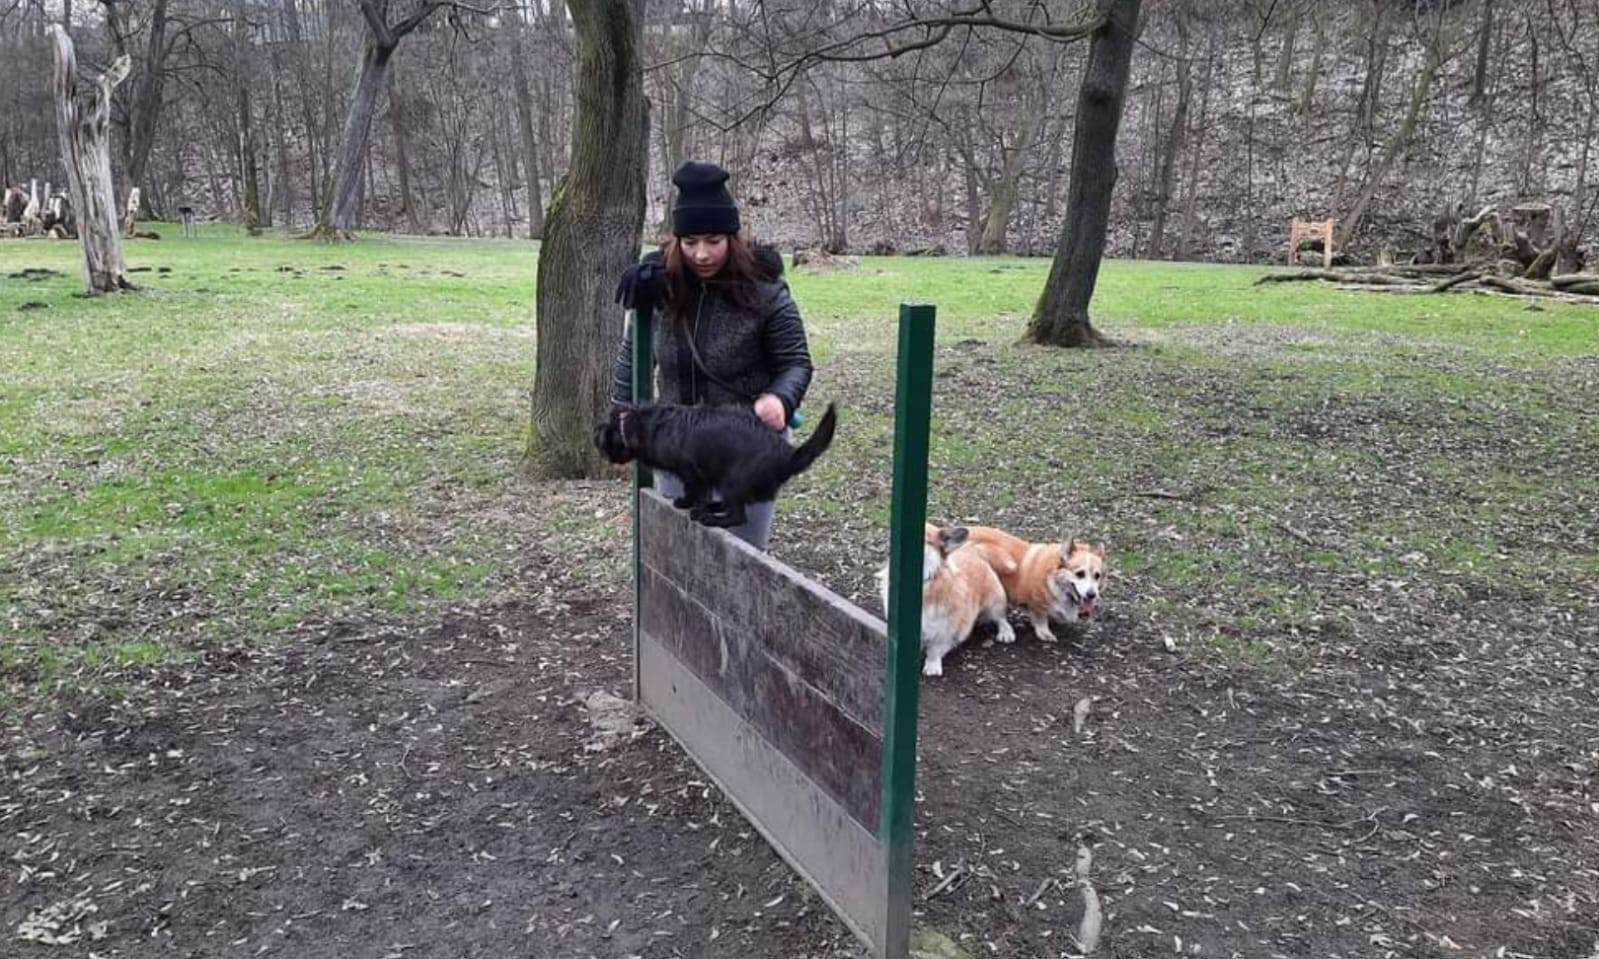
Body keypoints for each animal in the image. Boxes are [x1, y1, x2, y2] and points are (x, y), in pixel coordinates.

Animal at [594, 401, 837, 528]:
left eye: (606, 432)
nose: (595, 432)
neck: (642, 425)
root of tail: (786, 454)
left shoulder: (691, 472)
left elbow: (692, 491)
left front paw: (686, 503)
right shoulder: (703, 475)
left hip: (732, 482)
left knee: (738, 516)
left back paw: (709, 517)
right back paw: (713, 508)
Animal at [875, 526, 1014, 677]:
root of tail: (973, 549)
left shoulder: (945, 629)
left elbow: (934, 650)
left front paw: (932, 667)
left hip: (994, 603)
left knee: (1001, 618)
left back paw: (1006, 633)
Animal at [961, 526, 1106, 643]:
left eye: (1097, 576)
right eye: (1080, 574)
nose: (1092, 595)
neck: (1055, 581)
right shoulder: (1038, 603)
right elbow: (1041, 618)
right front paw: (1044, 632)